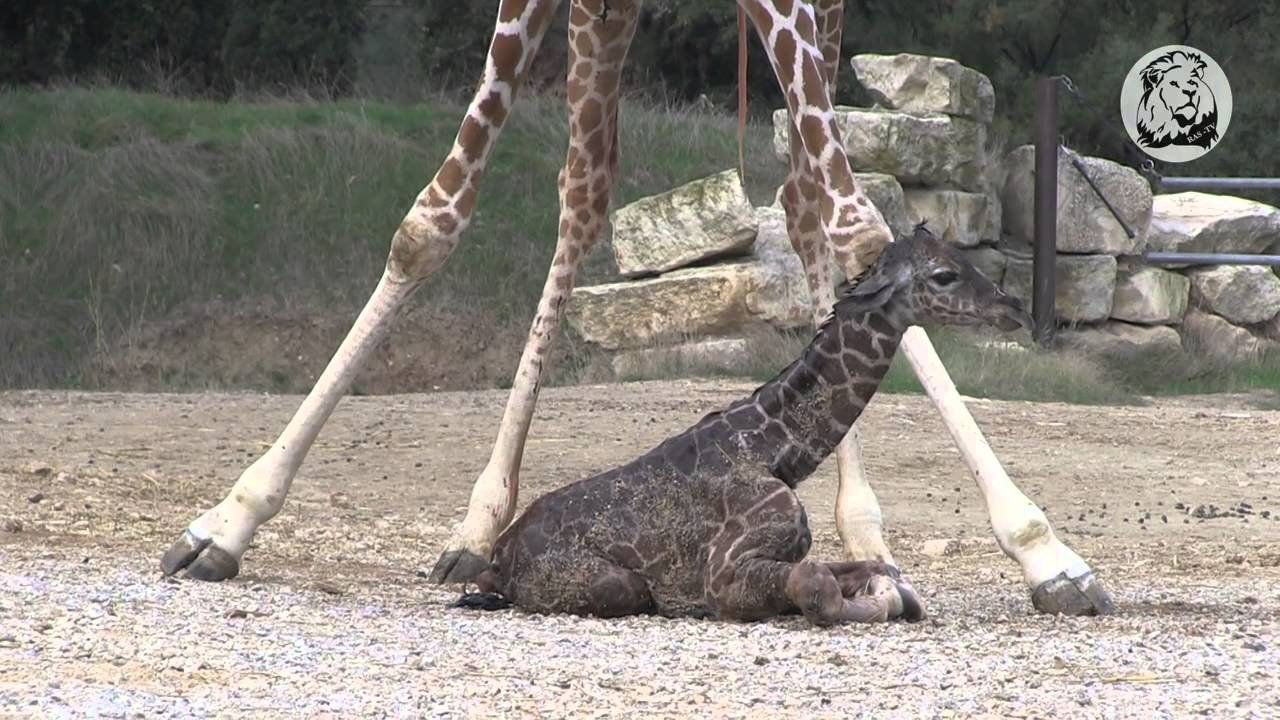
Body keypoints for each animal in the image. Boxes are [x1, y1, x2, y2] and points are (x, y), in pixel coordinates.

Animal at [457, 226, 1024, 624]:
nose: (1013, 305)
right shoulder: (722, 575)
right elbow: (817, 587)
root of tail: (500, 554)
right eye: (944, 275)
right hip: (615, 586)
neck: (778, 451)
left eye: (965, 260)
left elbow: (884, 577)